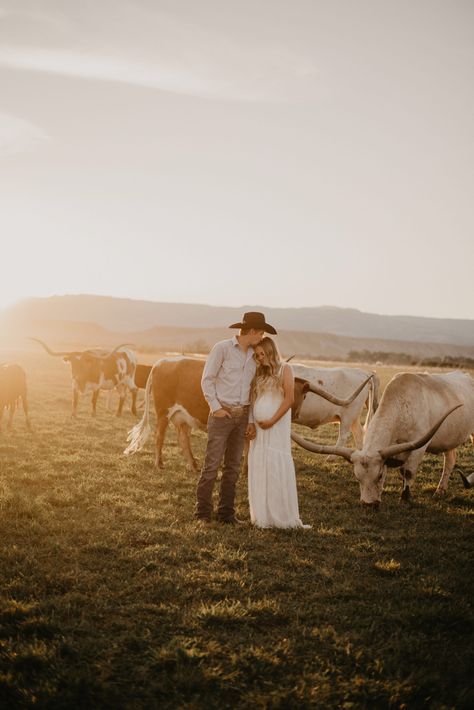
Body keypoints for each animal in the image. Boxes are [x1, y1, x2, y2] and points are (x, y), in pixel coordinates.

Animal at [292, 372, 474, 506]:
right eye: (357, 478)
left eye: (378, 476)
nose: (368, 504)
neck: (402, 406)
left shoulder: (419, 446)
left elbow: (407, 471)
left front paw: (405, 498)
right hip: (450, 439)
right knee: (450, 459)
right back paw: (440, 490)